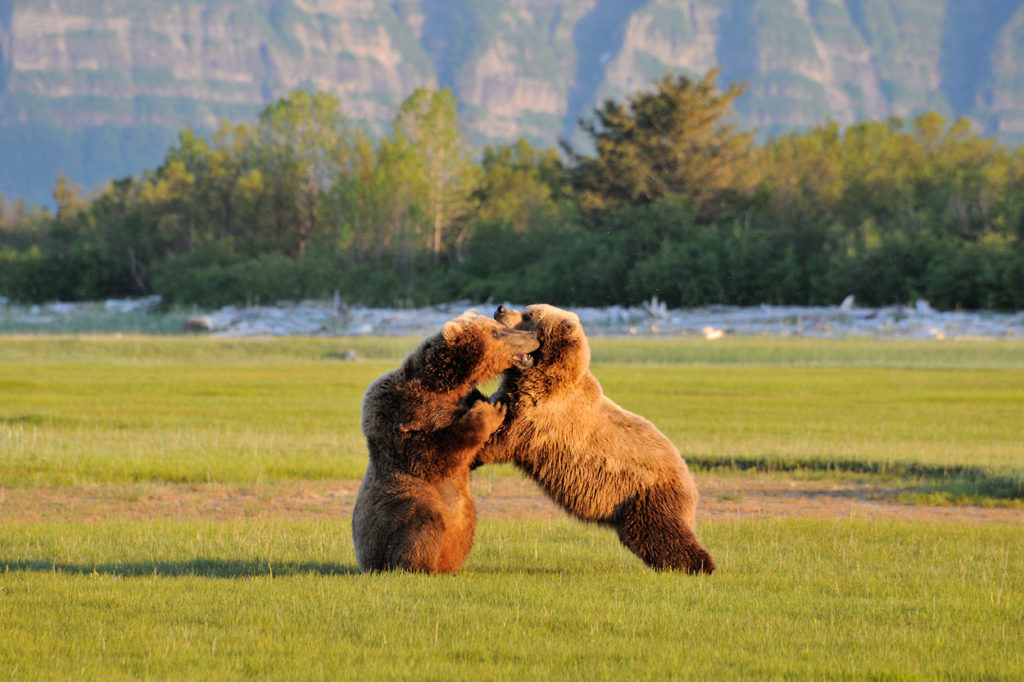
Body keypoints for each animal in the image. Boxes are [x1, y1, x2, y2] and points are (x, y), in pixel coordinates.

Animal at [352, 311, 540, 569]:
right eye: (496, 332)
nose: (533, 335)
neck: (443, 387)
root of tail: (366, 564)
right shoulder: (397, 411)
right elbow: (431, 454)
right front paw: (489, 410)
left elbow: (474, 454)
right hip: (390, 521)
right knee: (423, 518)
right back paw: (417, 565)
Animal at [477, 303, 712, 573]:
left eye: (529, 315)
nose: (500, 309)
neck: (541, 373)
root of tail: (687, 474)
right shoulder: (515, 395)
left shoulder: (540, 415)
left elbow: (501, 438)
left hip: (648, 495)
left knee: (663, 532)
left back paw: (699, 566)